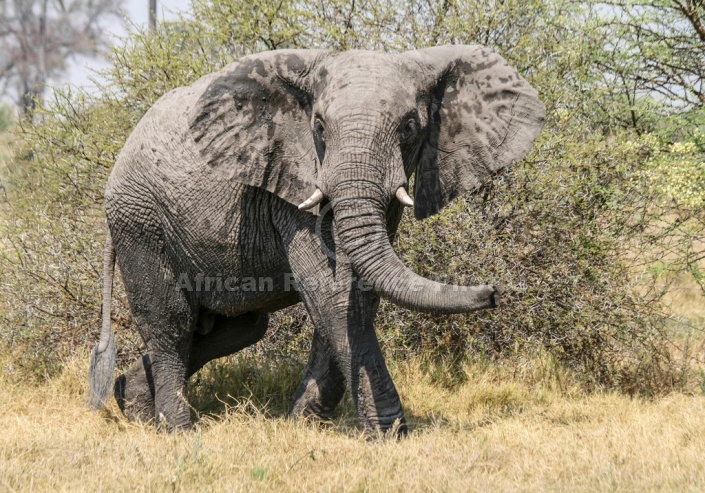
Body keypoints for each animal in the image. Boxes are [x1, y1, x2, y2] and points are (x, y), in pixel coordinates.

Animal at [88, 44, 544, 432]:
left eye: (410, 126)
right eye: (320, 128)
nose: (494, 292)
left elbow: (356, 293)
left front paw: (301, 425)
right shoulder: (293, 179)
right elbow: (332, 293)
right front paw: (391, 434)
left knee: (239, 327)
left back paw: (132, 405)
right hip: (140, 221)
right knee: (172, 323)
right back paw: (177, 429)